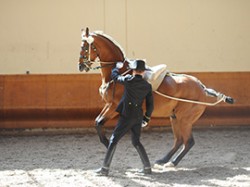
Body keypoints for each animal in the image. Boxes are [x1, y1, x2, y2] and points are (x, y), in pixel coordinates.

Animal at [78, 27, 234, 167]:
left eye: (85, 47)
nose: (81, 66)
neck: (120, 73)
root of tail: (202, 87)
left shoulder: (114, 106)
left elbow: (99, 123)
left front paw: (107, 144)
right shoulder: (109, 105)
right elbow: (97, 122)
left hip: (184, 119)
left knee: (188, 141)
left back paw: (172, 163)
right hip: (175, 117)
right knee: (179, 140)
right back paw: (163, 160)